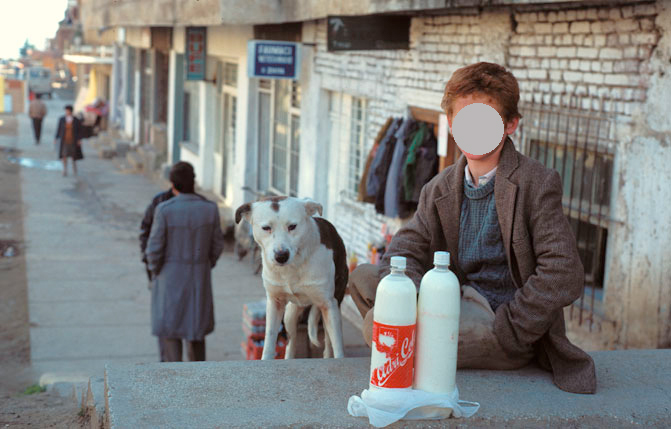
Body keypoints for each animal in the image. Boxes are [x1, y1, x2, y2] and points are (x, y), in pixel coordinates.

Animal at [235, 196, 347, 359]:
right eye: (266, 228)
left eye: (292, 226)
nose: (281, 256)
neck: (294, 265)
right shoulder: (275, 303)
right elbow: (269, 341)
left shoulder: (329, 304)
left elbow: (338, 346)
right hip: (290, 314)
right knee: (291, 341)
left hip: (333, 306)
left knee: (328, 341)